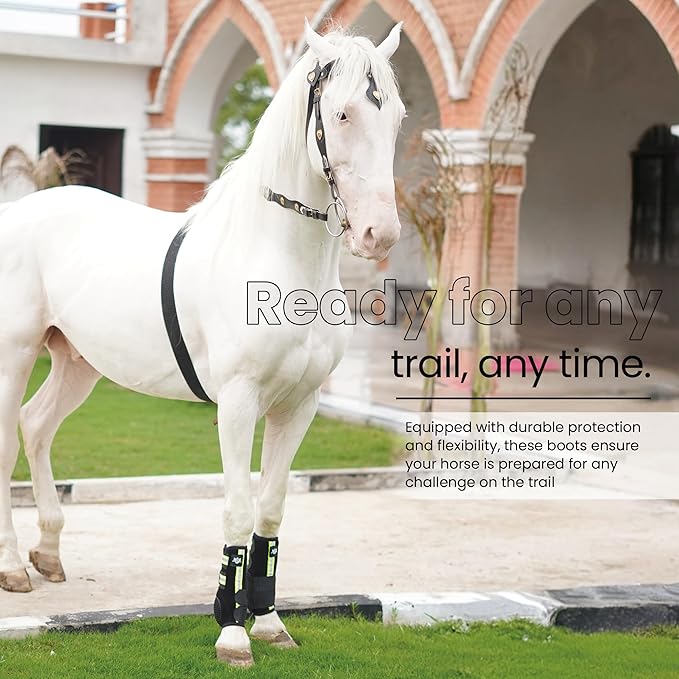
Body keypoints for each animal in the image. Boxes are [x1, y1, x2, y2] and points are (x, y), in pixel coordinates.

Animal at [0, 21, 404, 666]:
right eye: (342, 113)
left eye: (395, 115)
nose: (378, 233)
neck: (273, 256)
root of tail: (20, 209)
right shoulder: (238, 403)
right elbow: (238, 511)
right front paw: (232, 632)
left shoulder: (301, 405)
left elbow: (271, 510)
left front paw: (270, 622)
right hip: (15, 354)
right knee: (7, 443)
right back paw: (15, 566)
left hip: (79, 361)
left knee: (36, 425)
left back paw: (50, 553)